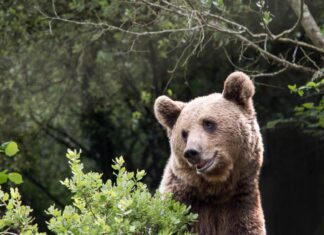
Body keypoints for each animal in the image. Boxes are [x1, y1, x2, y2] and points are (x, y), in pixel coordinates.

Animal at [154, 71, 266, 235]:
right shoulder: (180, 205)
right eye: (184, 133)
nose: (191, 152)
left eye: (208, 123)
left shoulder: (240, 205)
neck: (215, 190)